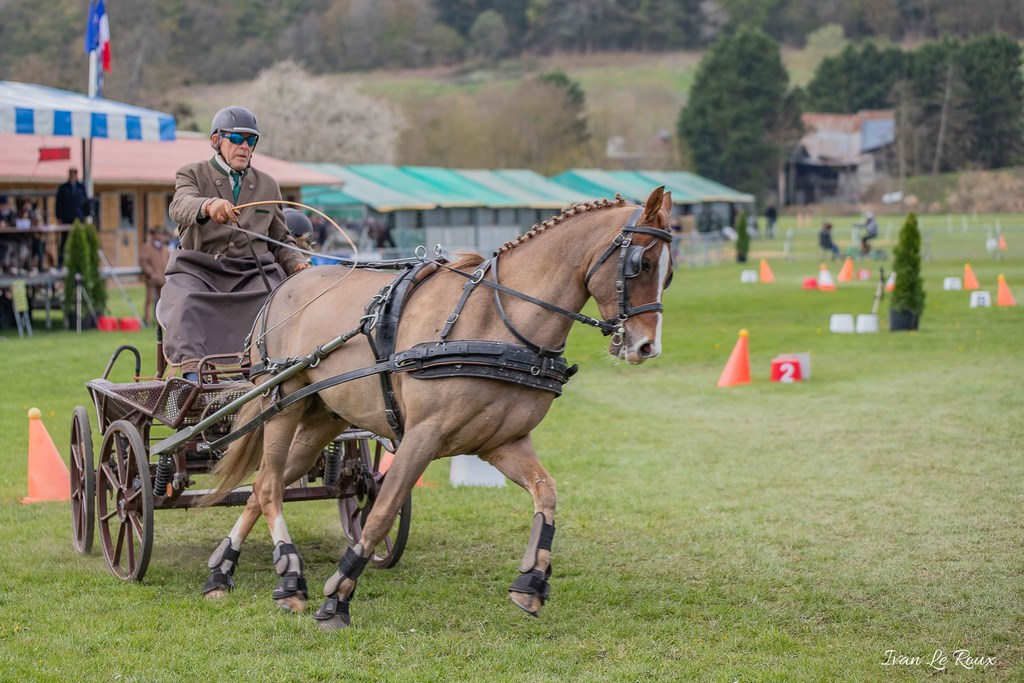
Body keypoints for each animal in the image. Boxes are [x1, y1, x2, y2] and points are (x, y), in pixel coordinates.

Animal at [203, 185, 675, 630]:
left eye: (669, 274)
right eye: (642, 264)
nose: (646, 347)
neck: (497, 324)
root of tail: (283, 288)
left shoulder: (503, 441)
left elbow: (547, 493)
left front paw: (532, 581)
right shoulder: (422, 435)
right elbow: (383, 510)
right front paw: (337, 598)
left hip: (322, 418)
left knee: (267, 483)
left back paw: (225, 573)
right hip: (280, 404)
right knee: (268, 486)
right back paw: (288, 575)